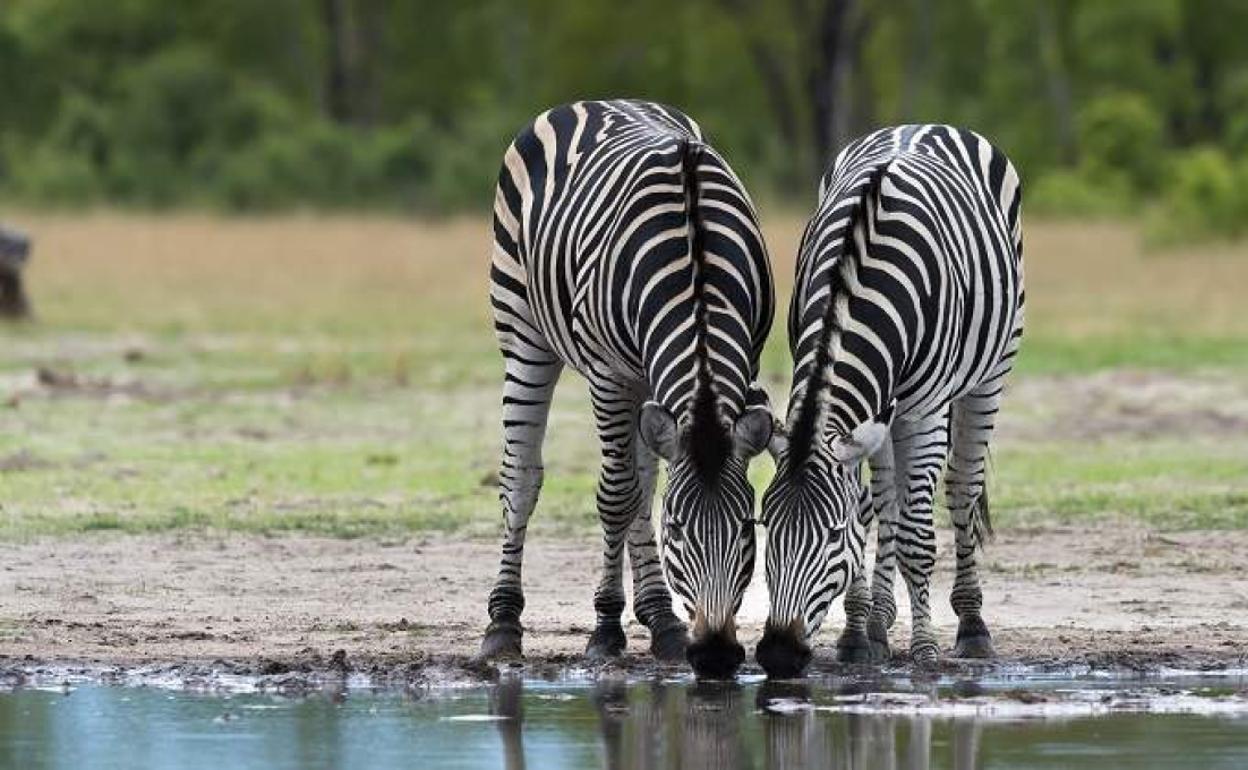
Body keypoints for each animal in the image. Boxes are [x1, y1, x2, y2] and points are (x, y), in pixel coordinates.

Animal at [481, 99, 773, 673]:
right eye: (677, 528)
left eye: (747, 526)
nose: (716, 655)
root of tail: (599, 100)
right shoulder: (610, 377)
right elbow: (615, 496)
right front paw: (605, 628)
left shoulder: (743, 359)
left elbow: (640, 491)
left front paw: (649, 621)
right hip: (524, 333)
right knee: (522, 478)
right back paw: (503, 623)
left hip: (645, 380)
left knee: (644, 478)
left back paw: (661, 617)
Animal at [748, 124, 1023, 673]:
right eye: (767, 526)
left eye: (830, 536)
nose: (780, 654)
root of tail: (927, 125)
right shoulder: (860, 419)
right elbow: (869, 511)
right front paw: (858, 635)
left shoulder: (922, 413)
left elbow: (917, 538)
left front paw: (924, 649)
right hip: (884, 412)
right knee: (887, 498)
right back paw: (878, 621)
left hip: (990, 373)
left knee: (960, 487)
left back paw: (971, 626)